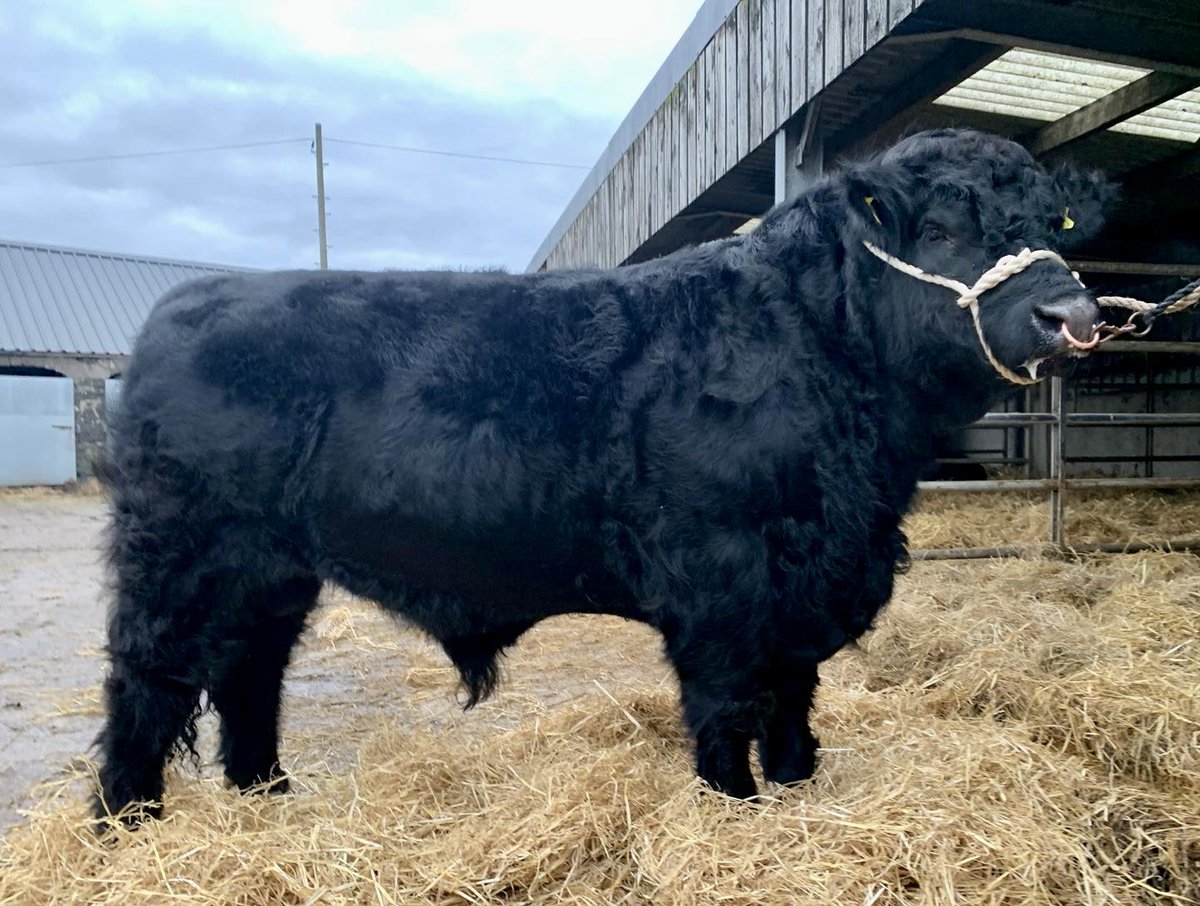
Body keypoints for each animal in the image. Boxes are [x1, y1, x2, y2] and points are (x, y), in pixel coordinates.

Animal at [94, 129, 1114, 820]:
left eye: (1049, 225)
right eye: (939, 227)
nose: (1072, 315)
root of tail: (186, 305)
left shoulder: (808, 580)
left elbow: (792, 697)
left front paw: (796, 787)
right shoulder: (721, 574)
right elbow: (725, 700)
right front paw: (733, 806)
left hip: (272, 569)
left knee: (248, 672)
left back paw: (266, 793)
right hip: (180, 553)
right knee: (148, 677)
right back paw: (126, 820)